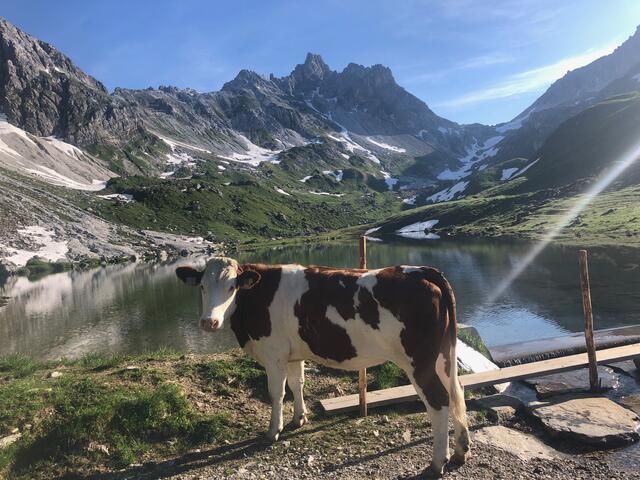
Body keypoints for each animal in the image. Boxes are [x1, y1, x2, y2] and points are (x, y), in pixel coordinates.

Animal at [175, 256, 470, 474]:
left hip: (419, 361)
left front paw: (273, 431)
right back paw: (460, 450)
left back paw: (437, 463)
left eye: (231, 287)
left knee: (438, 400)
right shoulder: (293, 353)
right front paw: (299, 418)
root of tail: (421, 271)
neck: (257, 297)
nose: (209, 322)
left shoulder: (274, 353)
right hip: (442, 356)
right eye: (202, 286)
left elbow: (276, 393)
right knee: (457, 390)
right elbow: (297, 384)